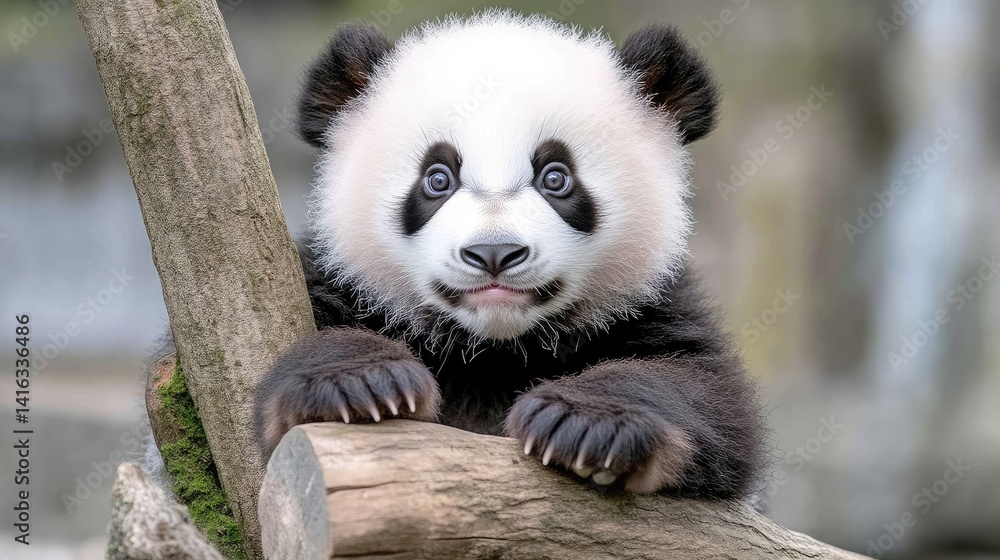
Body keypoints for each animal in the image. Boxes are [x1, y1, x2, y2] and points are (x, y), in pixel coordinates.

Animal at [254, 10, 766, 499]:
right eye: (437, 178)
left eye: (555, 177)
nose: (494, 252)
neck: (494, 348)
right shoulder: (340, 284)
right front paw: (359, 382)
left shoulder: (652, 306)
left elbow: (707, 396)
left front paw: (587, 423)